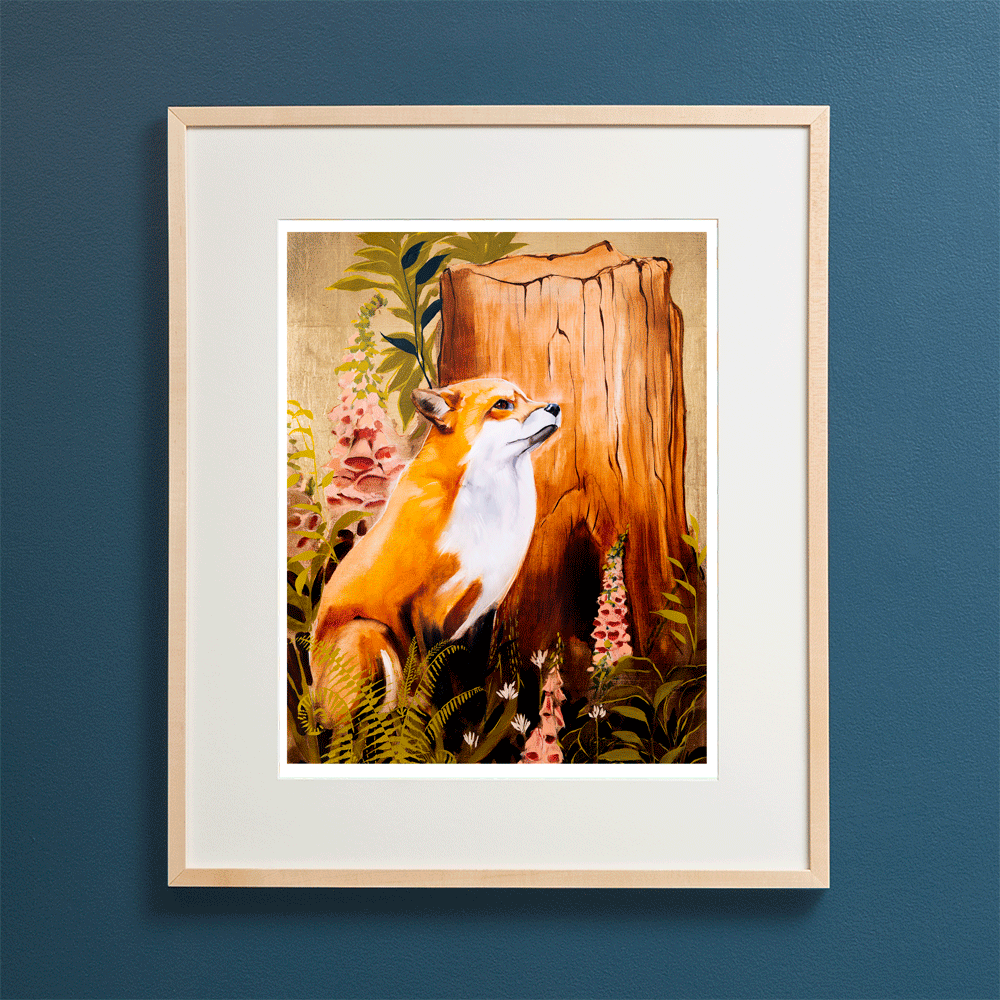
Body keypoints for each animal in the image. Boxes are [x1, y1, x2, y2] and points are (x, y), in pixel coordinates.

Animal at [309, 376, 561, 730]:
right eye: (502, 405)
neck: (485, 516)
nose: (555, 407)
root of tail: (313, 699)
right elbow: (439, 682)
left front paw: (475, 726)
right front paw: (446, 731)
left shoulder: (483, 611)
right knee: (357, 728)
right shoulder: (426, 608)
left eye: (526, 397)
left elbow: (472, 680)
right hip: (371, 632)